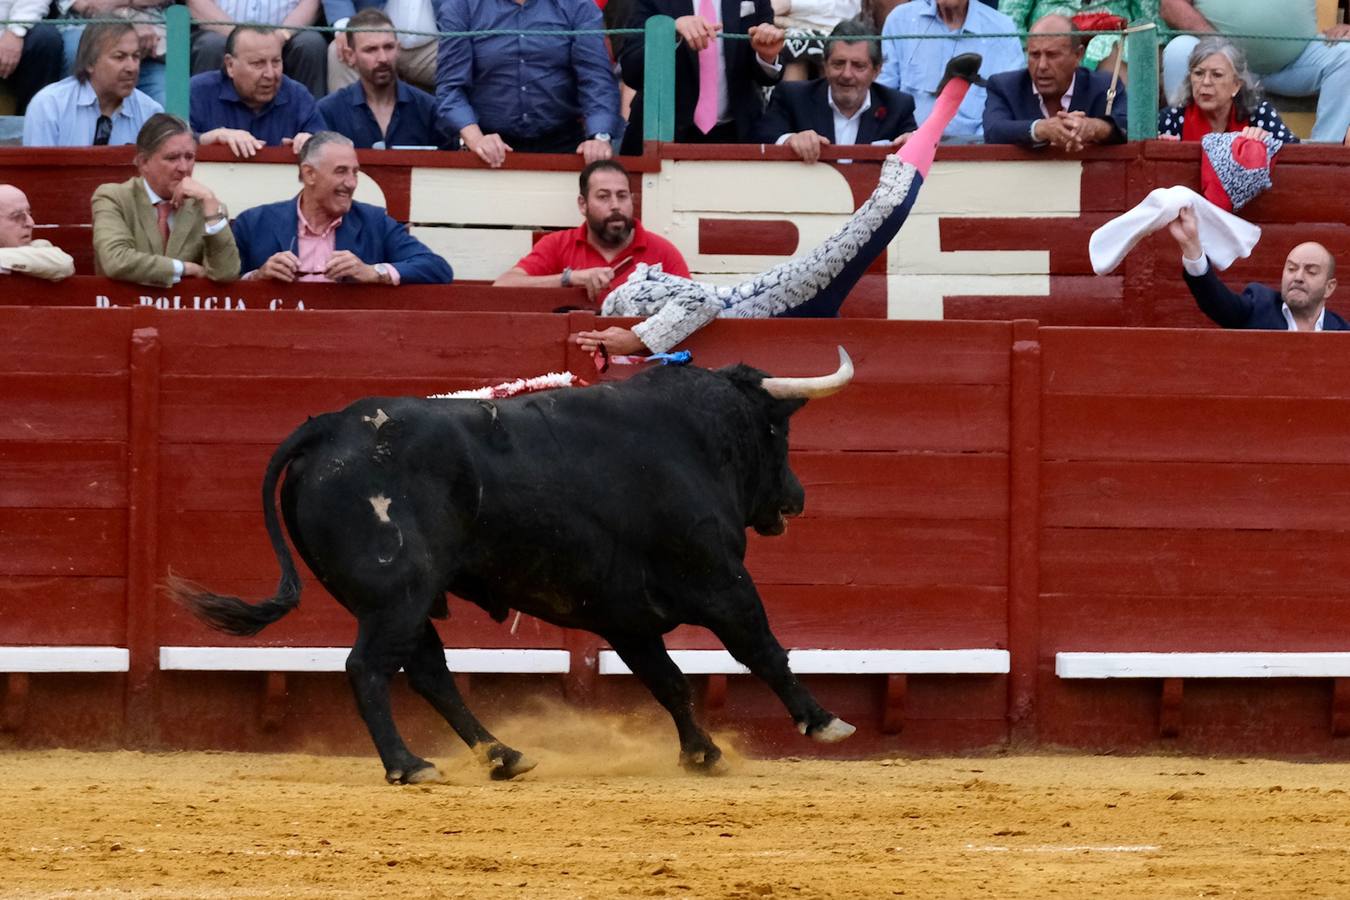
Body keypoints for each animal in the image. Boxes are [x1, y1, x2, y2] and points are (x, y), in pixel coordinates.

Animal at [174, 345, 853, 782]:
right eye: (776, 433)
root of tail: (328, 429)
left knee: (428, 672)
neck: (695, 437)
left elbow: (669, 682)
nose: (796, 497)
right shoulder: (720, 580)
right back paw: (410, 766)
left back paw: (502, 756)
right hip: (397, 591)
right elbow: (762, 648)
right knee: (369, 667)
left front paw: (702, 755)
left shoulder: (625, 617)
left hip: (402, 600)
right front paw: (823, 722)